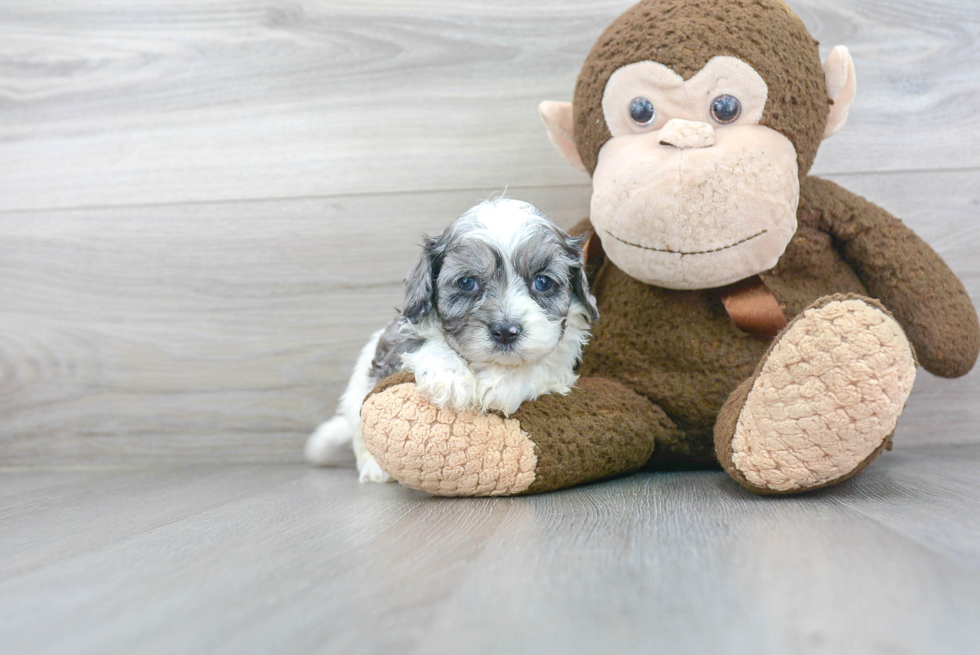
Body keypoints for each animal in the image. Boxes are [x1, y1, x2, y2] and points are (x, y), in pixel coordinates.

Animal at [304, 199, 596, 482]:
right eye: (467, 282)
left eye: (542, 282)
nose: (505, 331)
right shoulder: (400, 337)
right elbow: (425, 342)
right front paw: (451, 378)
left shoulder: (563, 360)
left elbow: (544, 362)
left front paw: (503, 383)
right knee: (360, 438)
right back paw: (375, 470)